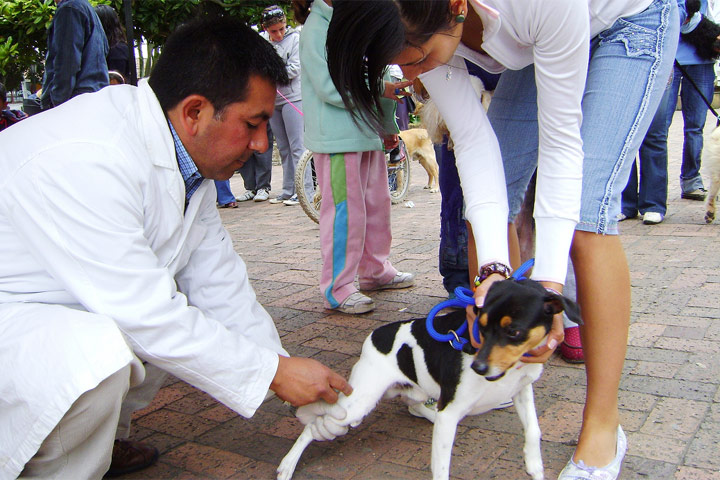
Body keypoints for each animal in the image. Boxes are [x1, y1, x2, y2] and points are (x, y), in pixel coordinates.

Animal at [278, 280, 584, 478]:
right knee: (311, 428)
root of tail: (375, 335)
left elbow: (534, 430)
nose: (478, 367)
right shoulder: (453, 407)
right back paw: (288, 464)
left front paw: (534, 466)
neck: (513, 368)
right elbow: (441, 467)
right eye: (481, 327)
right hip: (355, 406)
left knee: (416, 405)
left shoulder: (522, 390)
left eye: (514, 332)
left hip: (418, 391)